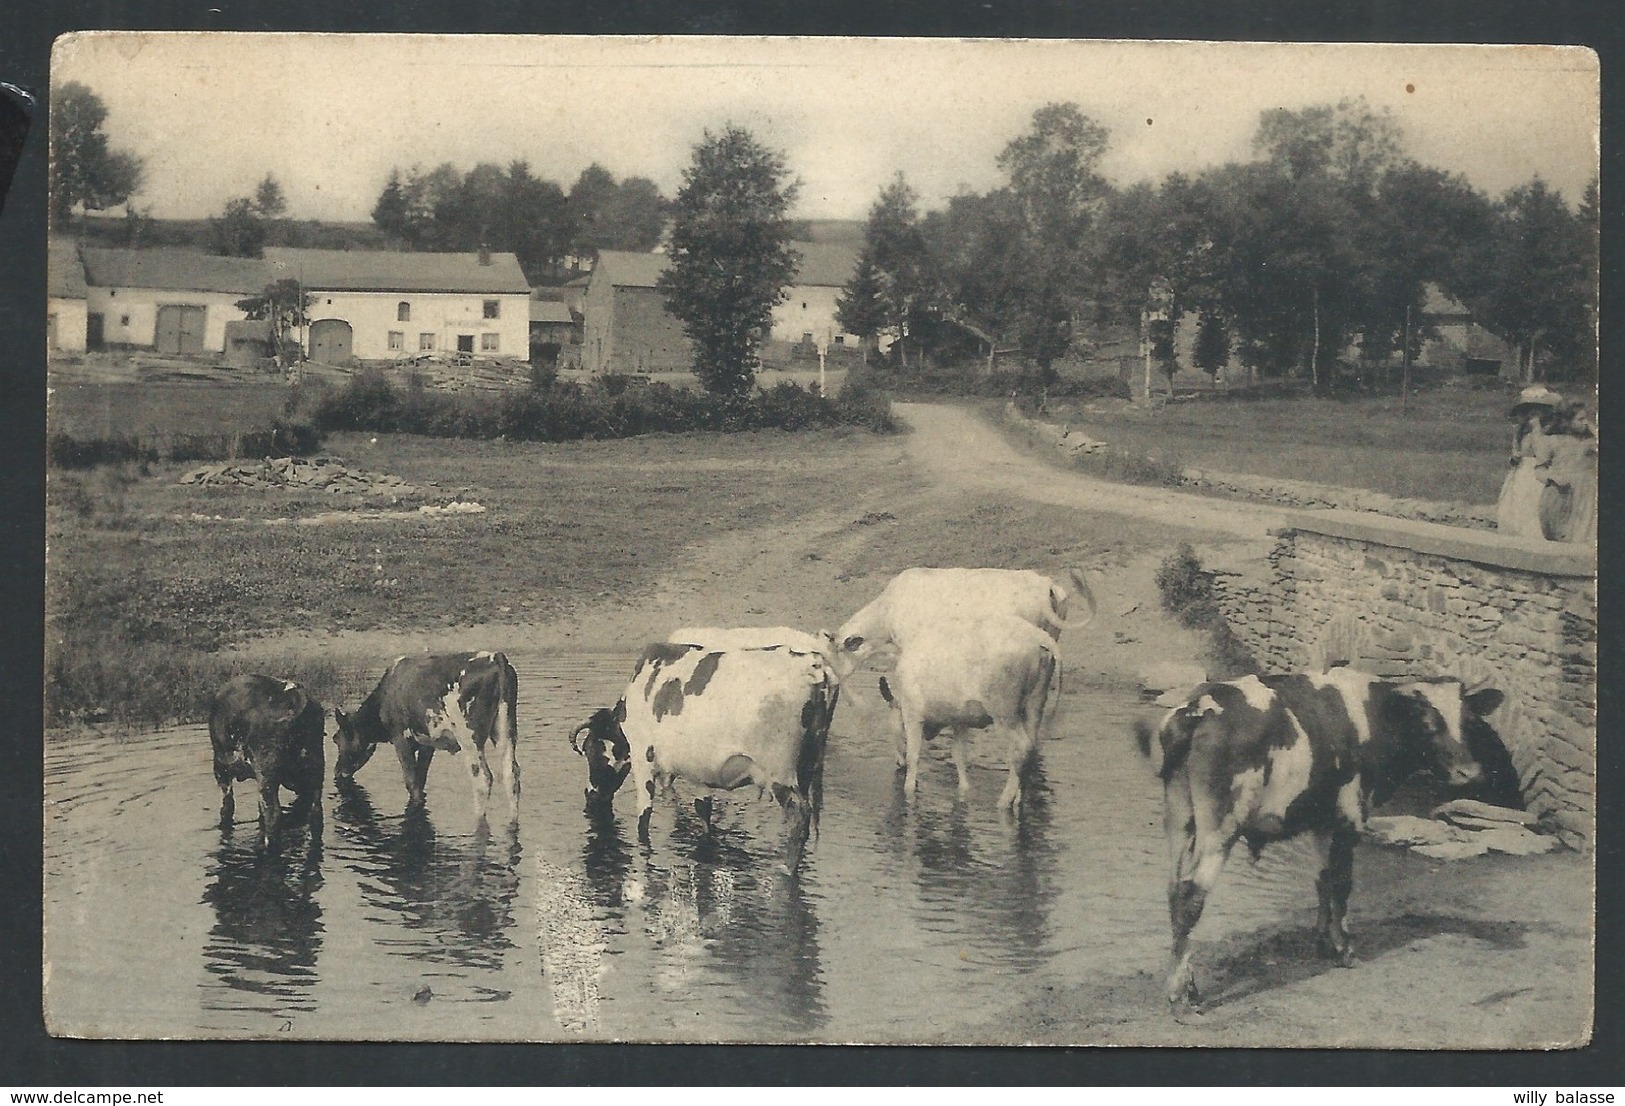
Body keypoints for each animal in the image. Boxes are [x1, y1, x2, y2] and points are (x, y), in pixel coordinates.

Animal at [208, 672, 325, 844]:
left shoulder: (222, 770)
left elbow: (227, 807)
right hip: (316, 767)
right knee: (316, 813)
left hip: (266, 772)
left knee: (274, 815)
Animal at [336, 646, 520, 818]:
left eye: (335, 739)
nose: (337, 771)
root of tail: (495, 657)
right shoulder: (428, 743)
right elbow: (421, 778)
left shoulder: (400, 737)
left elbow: (411, 781)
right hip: (505, 732)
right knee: (511, 775)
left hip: (470, 738)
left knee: (482, 778)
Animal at [565, 639, 838, 870]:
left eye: (590, 751)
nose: (590, 797)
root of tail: (814, 663)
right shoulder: (701, 772)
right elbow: (703, 811)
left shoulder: (643, 761)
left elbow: (644, 819)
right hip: (806, 768)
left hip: (779, 772)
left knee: (799, 816)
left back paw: (786, 870)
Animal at [871, 607, 1059, 805]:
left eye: (894, 730)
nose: (898, 764)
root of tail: (1038, 637)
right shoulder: (959, 720)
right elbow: (959, 757)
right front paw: (964, 791)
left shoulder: (913, 715)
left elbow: (914, 756)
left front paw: (909, 790)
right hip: (1034, 706)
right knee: (1030, 748)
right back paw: (1018, 798)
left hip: (1004, 713)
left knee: (1020, 748)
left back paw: (1004, 800)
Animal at [1137, 669, 1501, 1013]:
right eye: (1427, 721)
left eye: (1468, 719)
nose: (1469, 772)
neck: (1373, 716)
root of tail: (1199, 708)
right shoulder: (1350, 816)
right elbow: (1342, 883)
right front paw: (1344, 948)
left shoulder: (1322, 821)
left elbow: (1323, 879)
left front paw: (1324, 942)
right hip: (1220, 829)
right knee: (1192, 896)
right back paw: (1180, 996)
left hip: (1181, 820)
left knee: (1175, 891)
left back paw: (1188, 985)